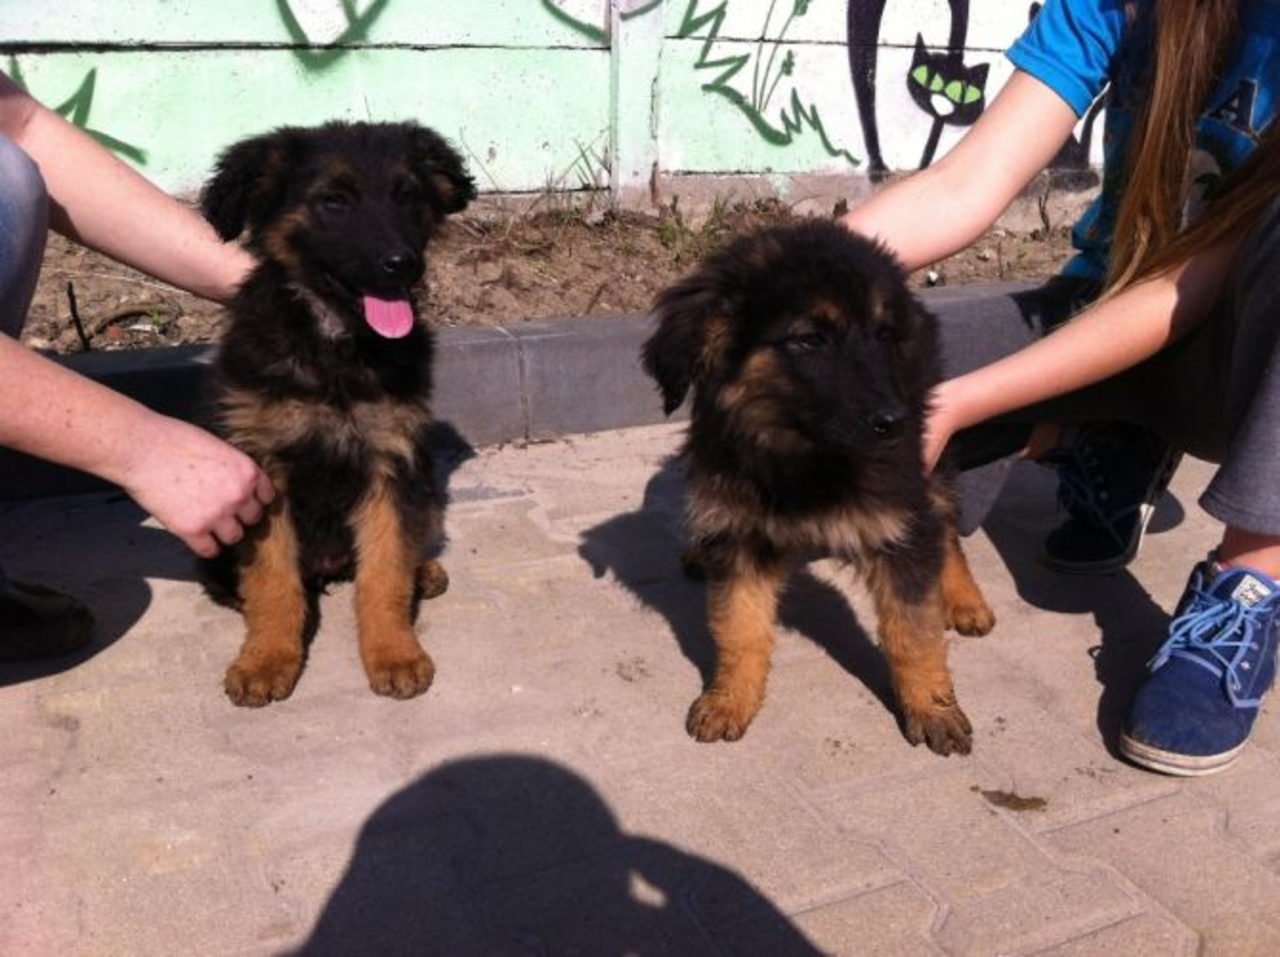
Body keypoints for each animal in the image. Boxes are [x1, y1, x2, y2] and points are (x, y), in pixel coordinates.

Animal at [197, 120, 476, 706]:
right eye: (334, 202)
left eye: (408, 196)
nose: (403, 264)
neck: (336, 343)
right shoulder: (263, 472)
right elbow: (273, 581)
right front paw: (266, 658)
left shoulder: (392, 462)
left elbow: (385, 573)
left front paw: (394, 653)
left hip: (426, 492)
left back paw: (424, 572)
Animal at [641, 219, 995, 755]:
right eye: (810, 339)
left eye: (882, 334)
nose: (895, 423)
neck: (803, 456)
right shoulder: (738, 534)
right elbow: (739, 628)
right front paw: (730, 699)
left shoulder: (899, 521)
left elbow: (913, 632)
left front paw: (932, 708)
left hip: (929, 463)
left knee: (944, 523)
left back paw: (964, 598)